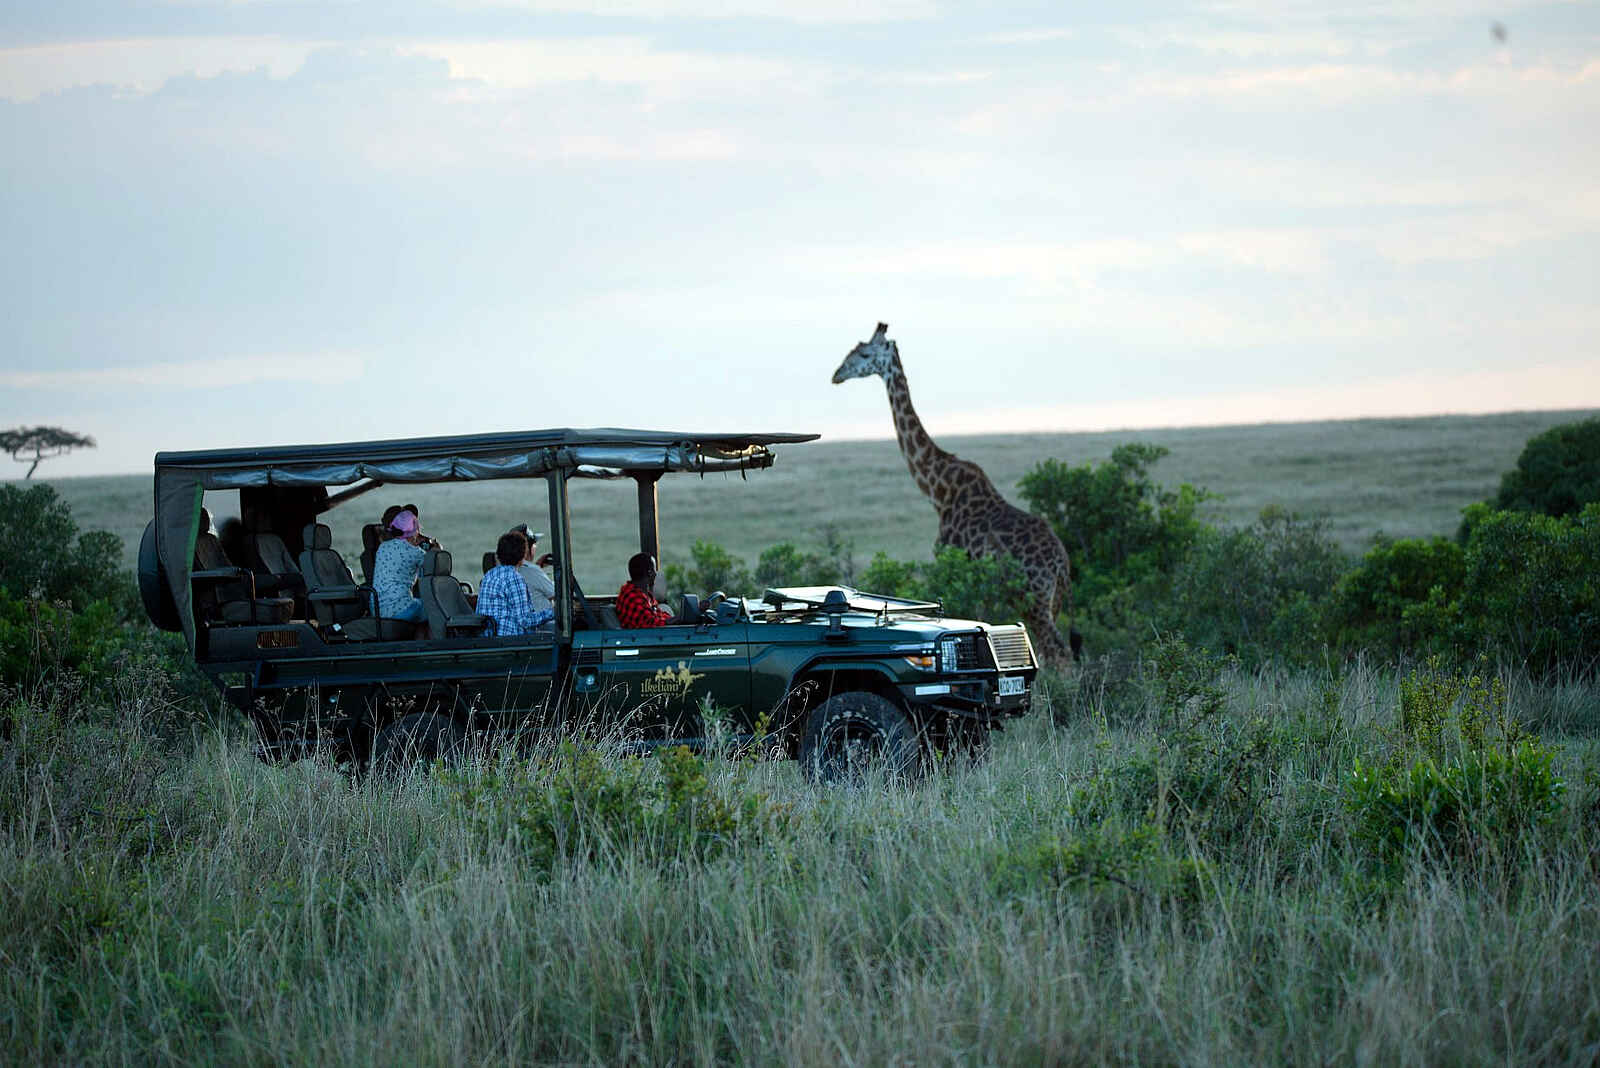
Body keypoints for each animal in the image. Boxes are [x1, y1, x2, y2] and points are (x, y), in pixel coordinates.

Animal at [832, 323, 1080, 664]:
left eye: (865, 354)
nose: (837, 374)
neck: (938, 491)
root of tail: (1060, 566)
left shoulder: (951, 563)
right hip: (1052, 603)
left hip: (1034, 601)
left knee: (1057, 653)